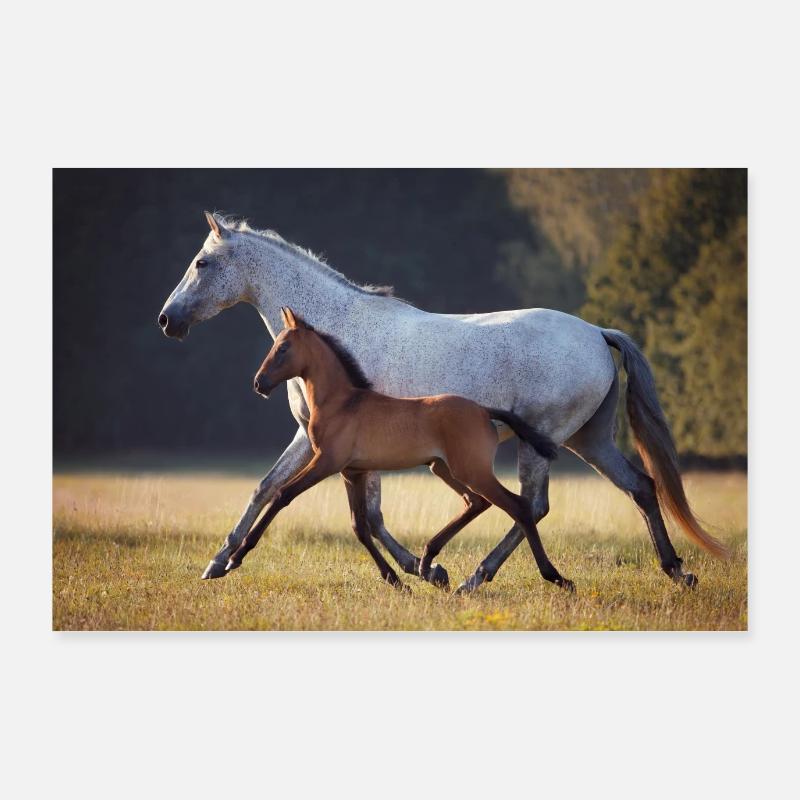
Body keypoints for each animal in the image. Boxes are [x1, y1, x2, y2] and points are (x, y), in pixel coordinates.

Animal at [226, 306, 566, 591]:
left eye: (283, 348)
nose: (259, 383)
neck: (341, 403)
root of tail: (484, 410)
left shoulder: (326, 463)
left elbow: (282, 494)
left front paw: (234, 558)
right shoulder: (352, 472)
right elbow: (360, 526)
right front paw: (396, 581)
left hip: (471, 470)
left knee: (518, 506)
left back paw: (555, 577)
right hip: (443, 467)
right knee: (477, 502)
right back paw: (428, 561)